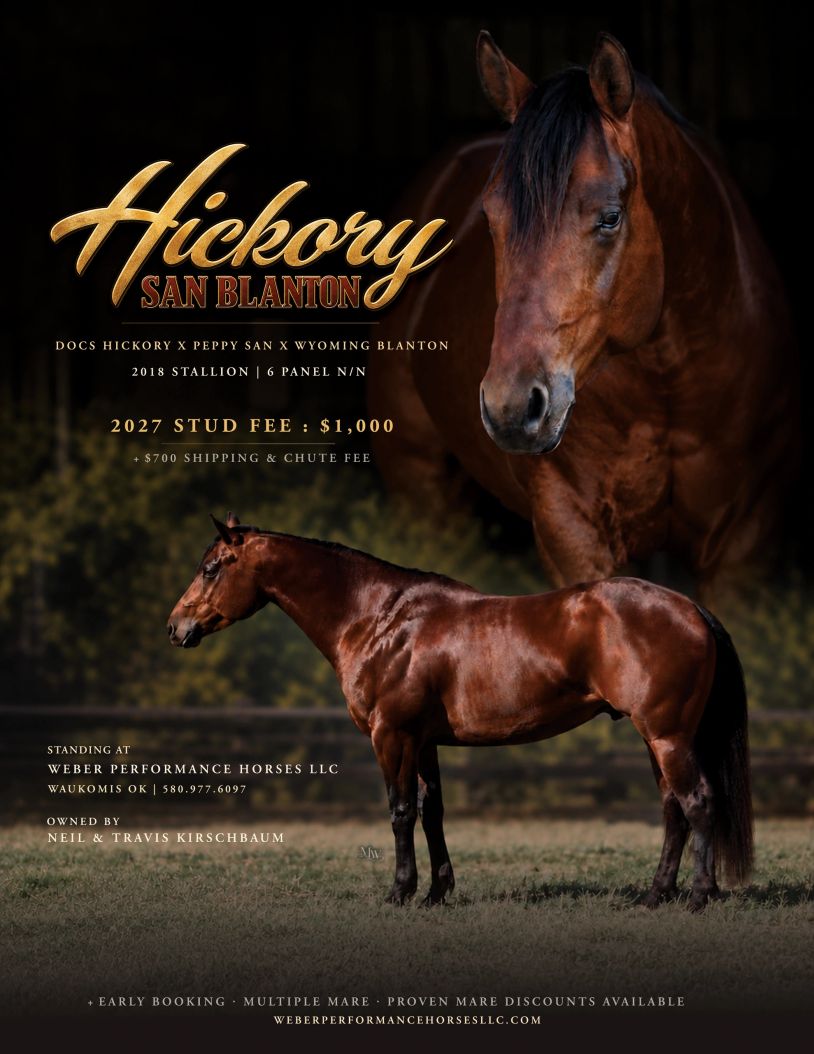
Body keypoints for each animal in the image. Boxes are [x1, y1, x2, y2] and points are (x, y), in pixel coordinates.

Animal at [167, 513, 753, 912]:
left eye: (211, 568)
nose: (176, 627)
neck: (381, 620)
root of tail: (690, 607)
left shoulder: (392, 736)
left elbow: (401, 812)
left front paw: (400, 892)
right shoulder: (423, 741)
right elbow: (433, 814)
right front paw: (436, 892)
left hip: (668, 736)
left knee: (698, 803)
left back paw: (697, 897)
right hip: (659, 739)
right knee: (674, 811)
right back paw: (655, 896)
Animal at [367, 31, 798, 593]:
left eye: (610, 218)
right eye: (490, 218)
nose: (510, 406)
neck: (672, 386)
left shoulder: (745, 545)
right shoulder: (571, 533)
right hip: (421, 489)